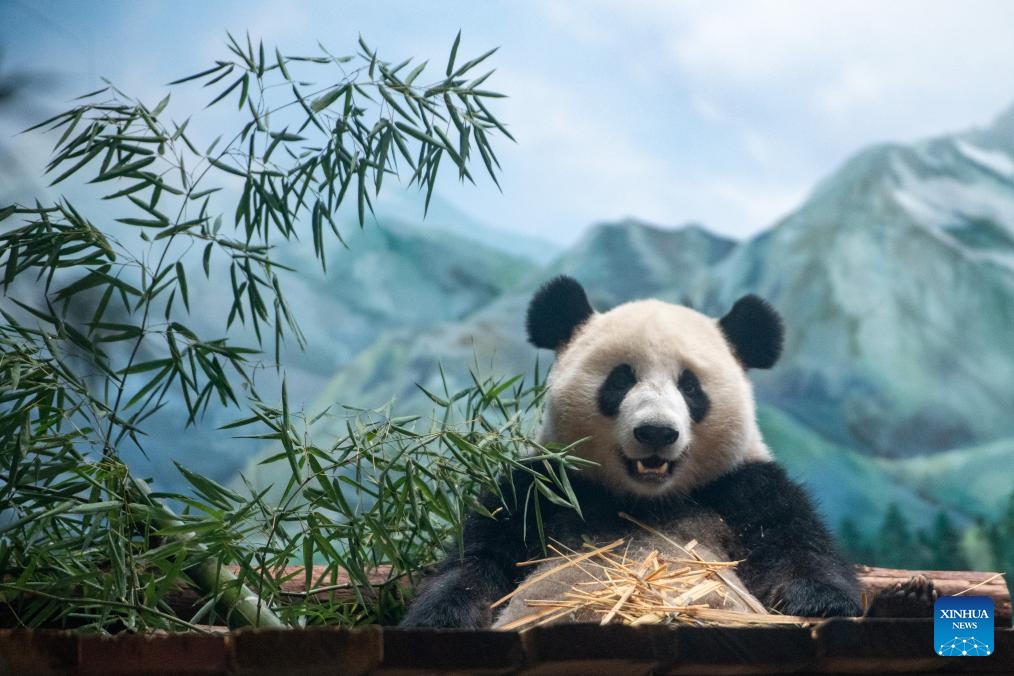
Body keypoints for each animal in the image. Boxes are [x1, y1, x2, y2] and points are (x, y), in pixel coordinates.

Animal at [397, 275, 863, 628]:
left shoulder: (741, 486)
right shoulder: (544, 487)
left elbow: (794, 544)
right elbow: (479, 557)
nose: (656, 432)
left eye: (690, 387)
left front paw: (821, 601)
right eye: (620, 380)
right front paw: (442, 616)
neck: (645, 502)